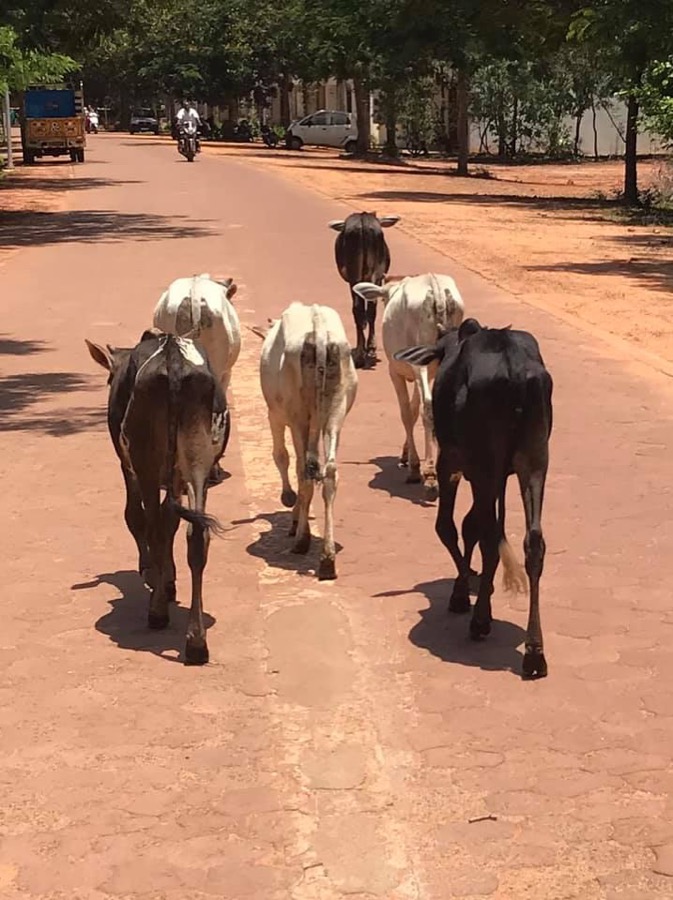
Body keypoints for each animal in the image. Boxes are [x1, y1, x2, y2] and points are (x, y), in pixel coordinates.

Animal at [85, 330, 228, 665]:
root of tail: (173, 357)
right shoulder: (175, 477)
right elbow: (170, 521)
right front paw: (169, 577)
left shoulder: (128, 465)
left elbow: (137, 518)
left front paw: (153, 572)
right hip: (199, 458)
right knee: (196, 534)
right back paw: (196, 641)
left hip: (145, 459)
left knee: (151, 524)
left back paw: (158, 611)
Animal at [255, 302, 358, 580]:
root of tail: (319, 333)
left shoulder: (275, 415)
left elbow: (281, 456)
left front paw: (290, 503)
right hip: (336, 412)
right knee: (329, 472)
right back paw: (327, 559)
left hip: (298, 416)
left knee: (304, 471)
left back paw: (302, 540)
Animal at [328, 212, 400, 369]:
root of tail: (363, 219)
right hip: (373, 275)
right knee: (370, 308)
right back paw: (369, 349)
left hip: (357, 277)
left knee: (359, 309)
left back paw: (362, 352)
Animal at [353, 273, 464, 499]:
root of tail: (435, 287)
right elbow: (412, 411)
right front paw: (405, 454)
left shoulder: (396, 372)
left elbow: (406, 412)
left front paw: (413, 467)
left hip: (419, 364)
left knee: (428, 408)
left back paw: (430, 476)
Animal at [395, 318, 553, 679]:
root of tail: (513, 364)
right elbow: (476, 527)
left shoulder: (451, 463)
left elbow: (450, 527)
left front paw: (462, 593)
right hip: (534, 462)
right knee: (532, 543)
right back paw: (534, 651)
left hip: (484, 466)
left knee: (486, 536)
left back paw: (481, 619)